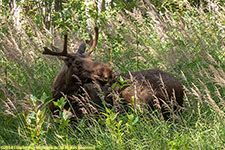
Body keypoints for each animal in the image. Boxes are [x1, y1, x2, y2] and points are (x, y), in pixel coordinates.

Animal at [43, 27, 184, 120]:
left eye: (91, 59)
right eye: (77, 63)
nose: (108, 72)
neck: (60, 96)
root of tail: (179, 88)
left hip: (136, 98)